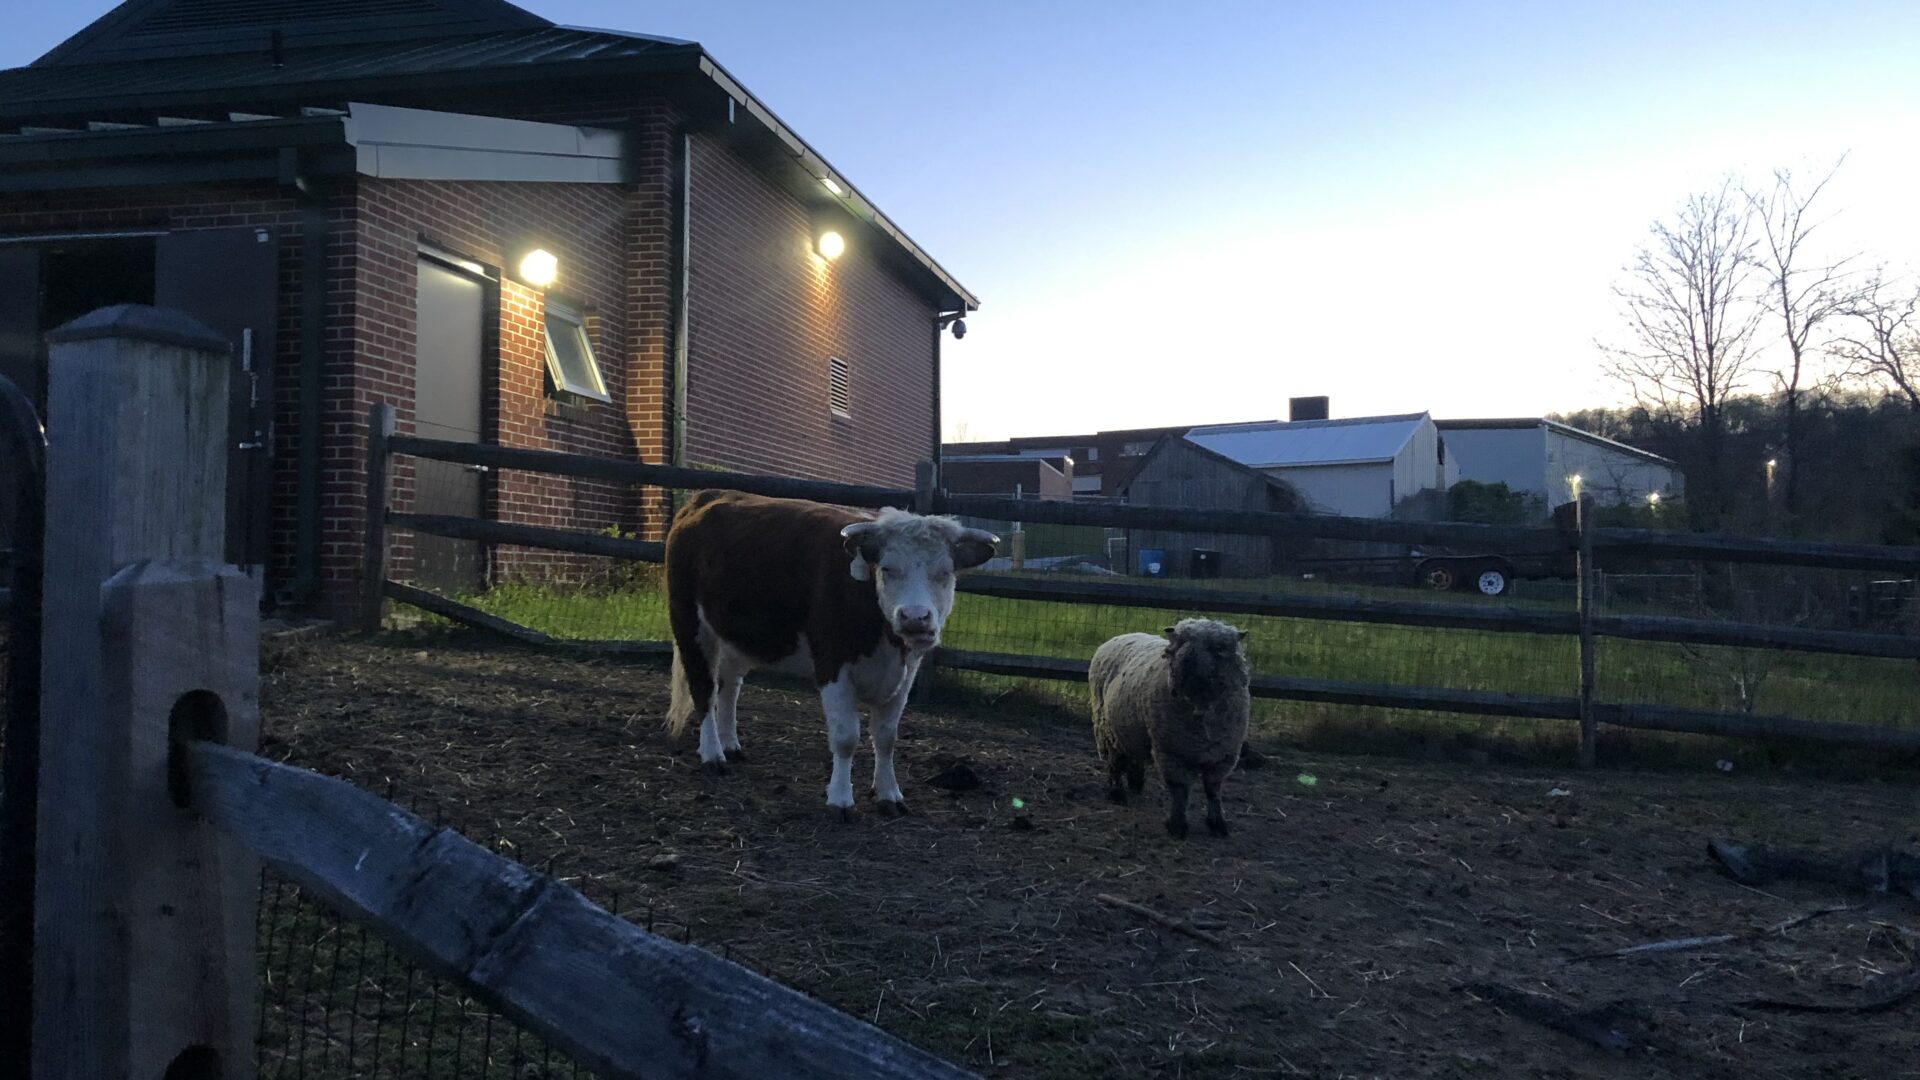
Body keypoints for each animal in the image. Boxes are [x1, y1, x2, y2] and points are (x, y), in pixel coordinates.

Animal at [664, 486, 998, 807]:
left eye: (945, 572)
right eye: (887, 568)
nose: (915, 617)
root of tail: (705, 497)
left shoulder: (906, 673)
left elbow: (887, 737)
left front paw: (888, 793)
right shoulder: (832, 664)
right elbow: (846, 737)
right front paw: (840, 798)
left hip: (735, 635)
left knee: (730, 685)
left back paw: (730, 744)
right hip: (690, 622)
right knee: (703, 688)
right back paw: (712, 753)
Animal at [1090, 618, 1251, 837]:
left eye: (1218, 647)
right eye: (1180, 642)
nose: (1186, 661)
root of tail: (1122, 634)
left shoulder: (1223, 756)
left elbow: (1213, 790)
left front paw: (1217, 823)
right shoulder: (1171, 752)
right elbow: (1180, 790)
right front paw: (1177, 825)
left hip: (1132, 730)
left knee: (1134, 756)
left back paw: (1135, 782)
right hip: (1106, 729)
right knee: (1114, 763)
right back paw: (1117, 793)